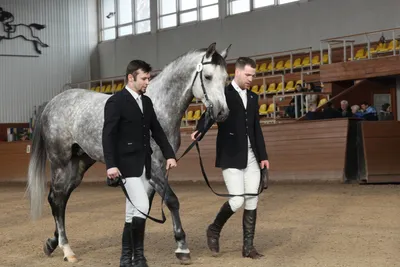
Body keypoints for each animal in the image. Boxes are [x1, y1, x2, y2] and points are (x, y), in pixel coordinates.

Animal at [27, 43, 231, 264]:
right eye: (208, 76)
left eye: (225, 78)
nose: (222, 113)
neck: (158, 106)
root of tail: (52, 103)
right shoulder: (156, 168)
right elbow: (171, 200)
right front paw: (182, 247)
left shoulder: (152, 172)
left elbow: (143, 209)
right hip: (61, 163)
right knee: (56, 198)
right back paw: (66, 249)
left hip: (78, 165)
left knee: (60, 199)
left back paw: (52, 243)